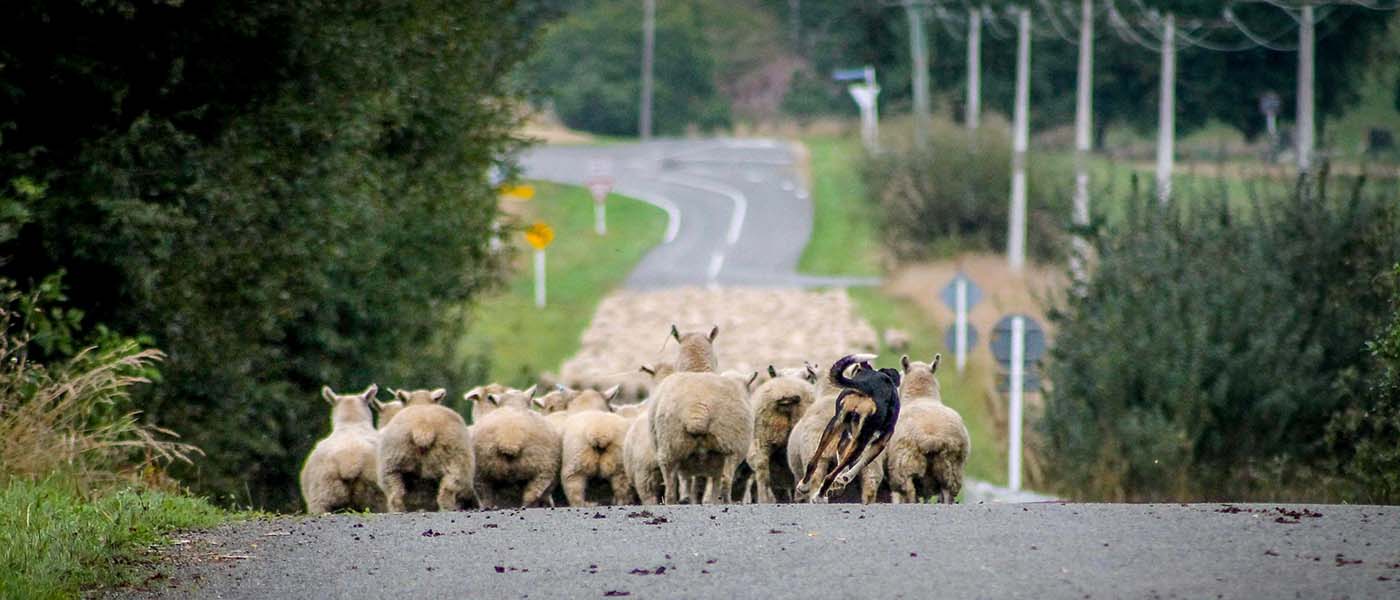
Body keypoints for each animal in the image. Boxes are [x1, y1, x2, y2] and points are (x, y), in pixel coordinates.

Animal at [646, 372, 750, 503]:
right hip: (732, 447)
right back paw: (724, 501)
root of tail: (697, 410)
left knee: (670, 484)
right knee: (726, 479)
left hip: (671, 445)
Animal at [890, 352, 968, 503]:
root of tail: (931, 438)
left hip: (905, 469)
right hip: (950, 471)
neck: (921, 396)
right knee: (946, 496)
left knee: (910, 495)